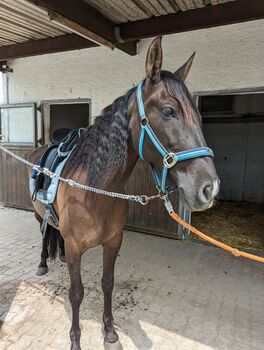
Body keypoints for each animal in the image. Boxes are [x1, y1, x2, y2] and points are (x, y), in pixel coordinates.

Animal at [28, 37, 220, 348]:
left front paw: (109, 330)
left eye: (199, 115)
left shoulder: (113, 242)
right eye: (169, 111)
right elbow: (76, 293)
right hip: (37, 217)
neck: (95, 190)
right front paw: (75, 339)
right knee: (45, 235)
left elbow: (108, 284)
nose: (209, 187)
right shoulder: (75, 247)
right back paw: (43, 263)